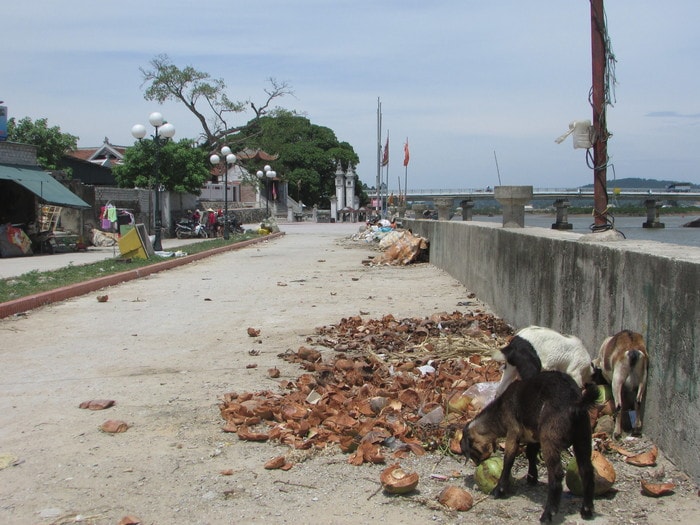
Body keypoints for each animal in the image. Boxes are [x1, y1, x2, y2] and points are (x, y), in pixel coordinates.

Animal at [460, 370, 596, 520]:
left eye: (471, 451)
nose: (478, 464)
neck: (499, 411)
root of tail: (574, 403)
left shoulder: (513, 431)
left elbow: (509, 459)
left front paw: (500, 489)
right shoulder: (534, 436)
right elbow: (530, 454)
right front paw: (532, 478)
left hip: (549, 439)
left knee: (556, 474)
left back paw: (548, 513)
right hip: (583, 437)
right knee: (587, 470)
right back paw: (586, 510)